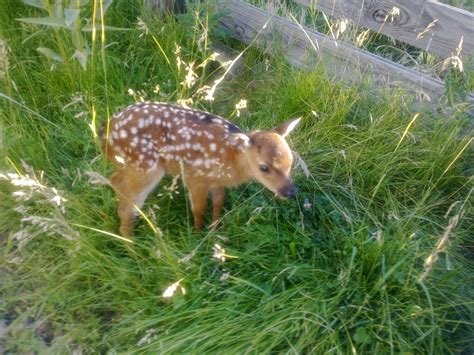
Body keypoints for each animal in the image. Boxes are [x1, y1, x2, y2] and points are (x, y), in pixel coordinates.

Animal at [100, 101, 300, 238]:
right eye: (264, 167)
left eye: (291, 162)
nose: (290, 192)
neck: (231, 159)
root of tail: (104, 132)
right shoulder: (195, 176)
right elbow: (199, 208)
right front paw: (197, 234)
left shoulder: (217, 181)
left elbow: (218, 201)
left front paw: (214, 229)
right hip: (145, 166)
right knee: (127, 207)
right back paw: (133, 248)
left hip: (129, 165)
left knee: (115, 180)